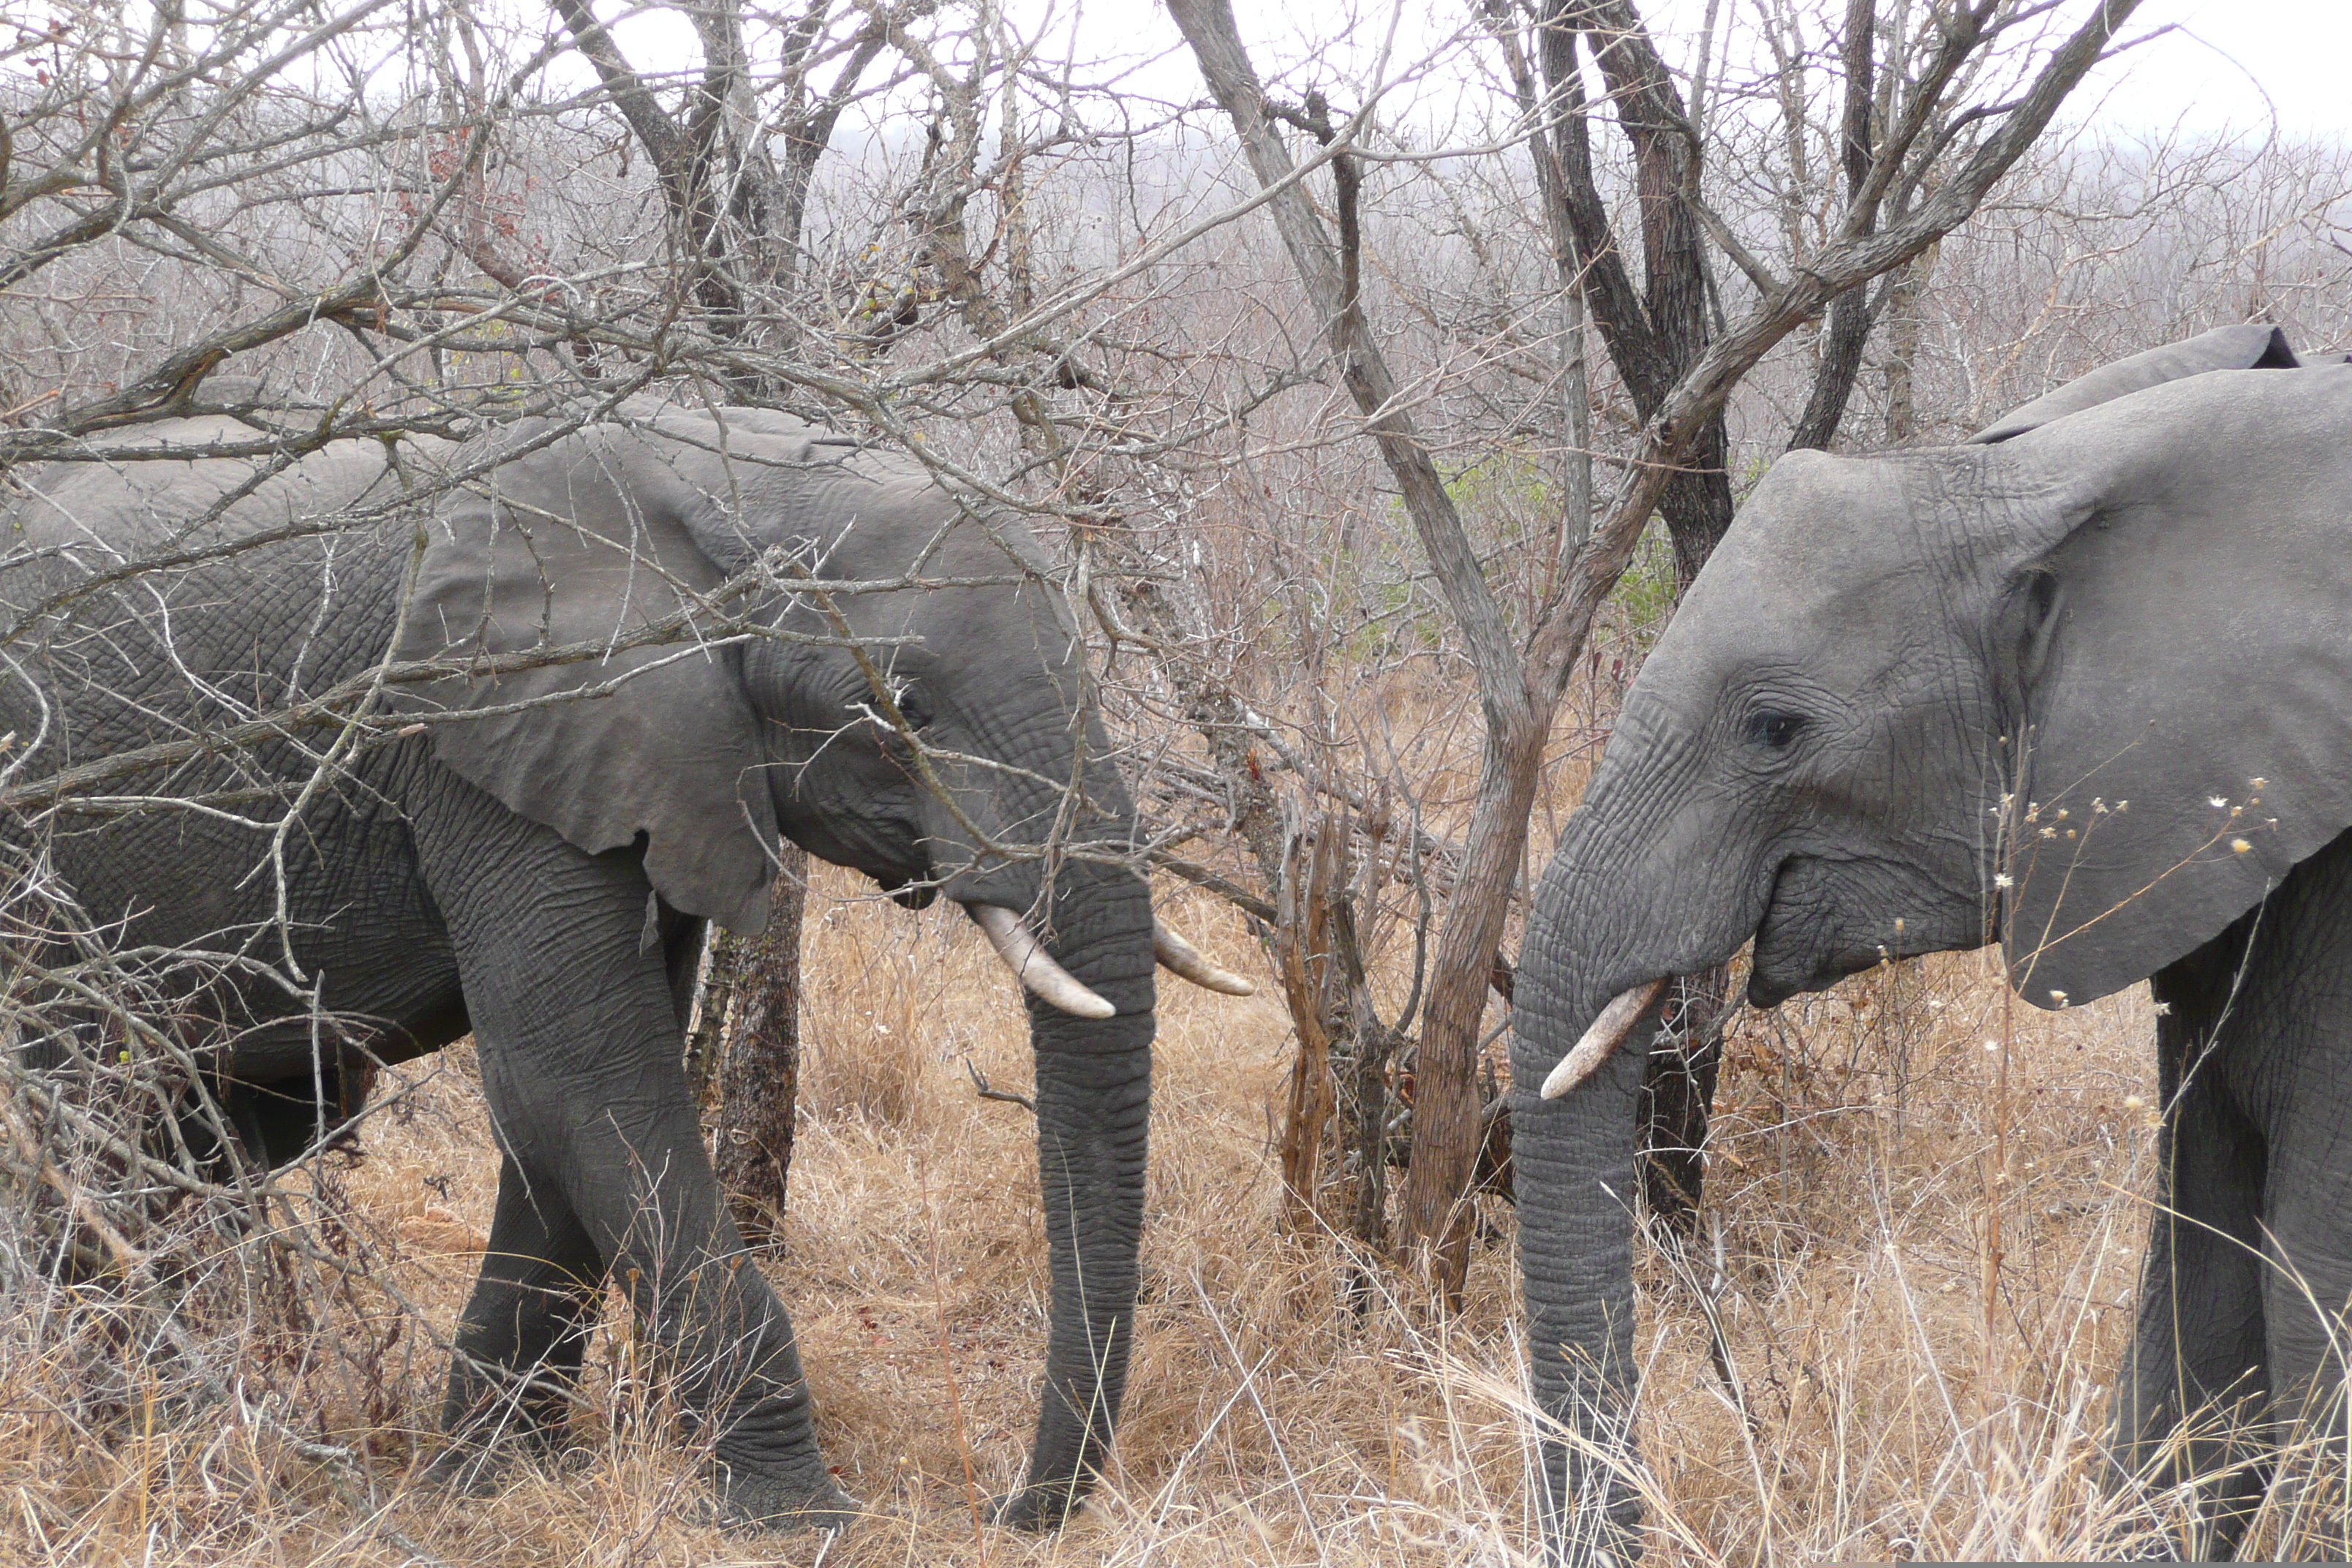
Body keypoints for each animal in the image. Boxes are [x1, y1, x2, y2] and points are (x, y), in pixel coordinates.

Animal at [0, 402, 1251, 1532]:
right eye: (905, 706)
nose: (1010, 1510)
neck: (740, 475)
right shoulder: (497, 727)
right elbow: (582, 1079)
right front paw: (799, 1520)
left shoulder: (648, 764)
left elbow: (564, 1111)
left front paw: (490, 1485)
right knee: (86, 1121)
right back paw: (124, 1432)